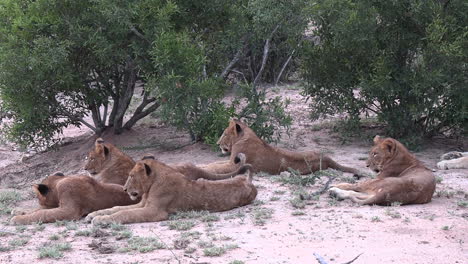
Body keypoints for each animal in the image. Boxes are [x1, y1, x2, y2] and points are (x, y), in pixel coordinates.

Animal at [86, 155, 258, 225]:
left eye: (132, 176)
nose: (124, 189)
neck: (151, 184)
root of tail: (248, 182)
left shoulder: (155, 211)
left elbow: (125, 213)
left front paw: (100, 220)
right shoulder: (142, 204)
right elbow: (117, 208)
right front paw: (93, 215)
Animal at [200, 119, 362, 177]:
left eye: (225, 134)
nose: (217, 143)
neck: (244, 136)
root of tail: (325, 157)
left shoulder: (234, 164)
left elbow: (216, 167)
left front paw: (203, 168)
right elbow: (214, 163)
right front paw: (202, 165)